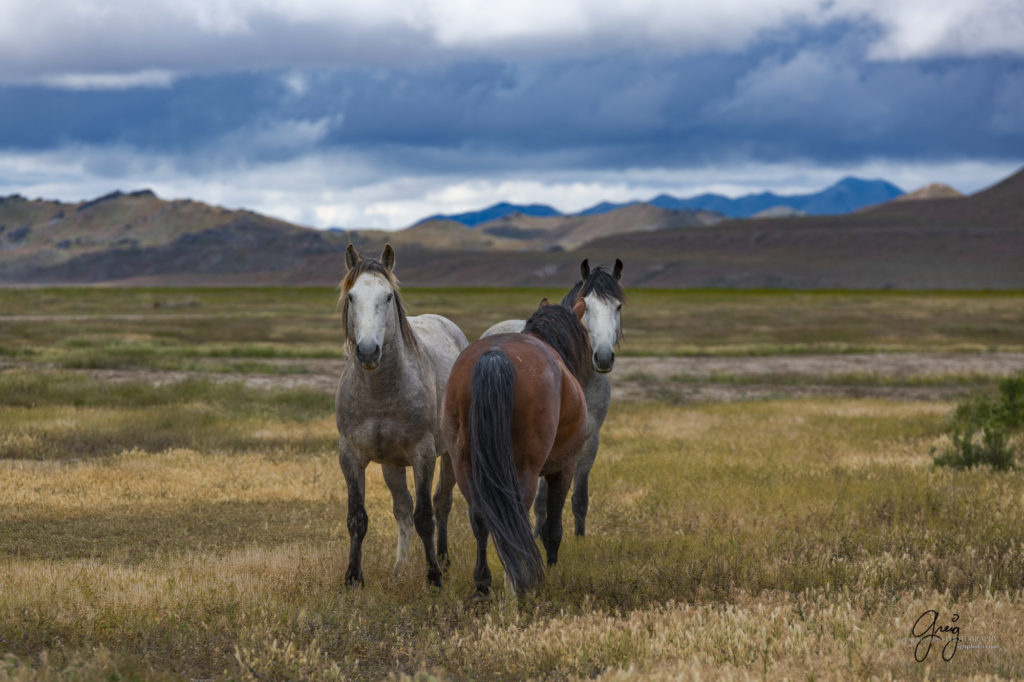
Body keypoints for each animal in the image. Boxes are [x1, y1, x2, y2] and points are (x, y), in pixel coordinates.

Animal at [440, 296, 593, 589]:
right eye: (587, 337)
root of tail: (495, 356)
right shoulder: (563, 468)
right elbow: (553, 527)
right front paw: (551, 567)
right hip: (525, 468)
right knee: (516, 513)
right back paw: (522, 581)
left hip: (463, 463)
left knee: (479, 517)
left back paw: (483, 584)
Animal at [479, 256, 622, 536]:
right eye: (588, 307)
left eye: (618, 306)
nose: (603, 357)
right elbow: (541, 499)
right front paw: (537, 534)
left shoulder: (590, 441)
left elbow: (580, 497)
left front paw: (580, 538)